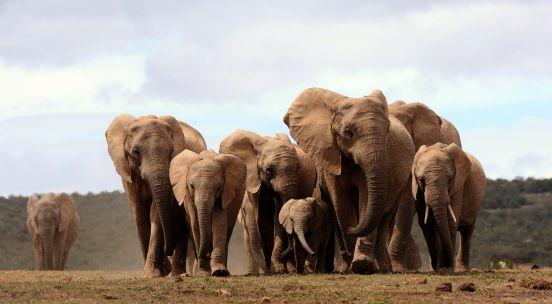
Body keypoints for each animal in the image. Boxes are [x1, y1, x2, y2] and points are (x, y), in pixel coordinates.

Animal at [104, 114, 206, 278]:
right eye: (135, 152)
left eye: (171, 151)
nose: (167, 251)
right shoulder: (128, 173)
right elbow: (139, 213)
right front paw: (155, 272)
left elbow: (156, 212)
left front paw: (153, 273)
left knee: (182, 222)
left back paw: (177, 273)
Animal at [220, 129, 314, 274]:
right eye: (269, 170)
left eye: (298, 168)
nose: (284, 256)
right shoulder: (254, 179)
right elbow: (262, 216)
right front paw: (272, 269)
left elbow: (277, 216)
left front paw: (278, 268)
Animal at [284, 88, 414, 276]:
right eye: (348, 132)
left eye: (387, 131)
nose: (354, 229)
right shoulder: (331, 157)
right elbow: (342, 203)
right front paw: (355, 265)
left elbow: (366, 198)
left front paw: (362, 265)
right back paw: (346, 266)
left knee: (385, 217)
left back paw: (382, 268)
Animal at [412, 142, 486, 274]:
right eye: (421, 180)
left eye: (449, 179)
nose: (438, 266)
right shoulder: (418, 191)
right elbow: (426, 225)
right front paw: (438, 269)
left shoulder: (458, 187)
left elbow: (450, 222)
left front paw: (446, 269)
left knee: (467, 231)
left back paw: (462, 270)